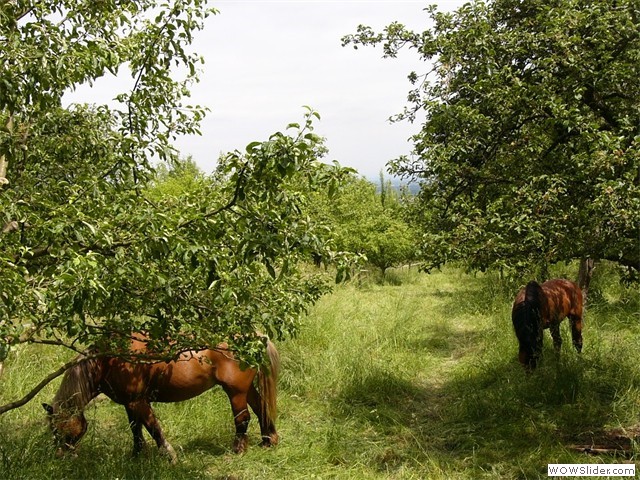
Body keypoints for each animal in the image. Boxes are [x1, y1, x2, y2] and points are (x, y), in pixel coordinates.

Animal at [42, 336, 278, 464]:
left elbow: (153, 428)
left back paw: (238, 450)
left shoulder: (139, 402)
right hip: (246, 389)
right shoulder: (129, 403)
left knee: (243, 419)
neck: (110, 360)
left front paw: (169, 455)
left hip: (235, 391)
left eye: (58, 429)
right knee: (261, 409)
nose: (61, 455)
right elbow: (135, 429)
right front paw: (137, 455)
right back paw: (269, 441)